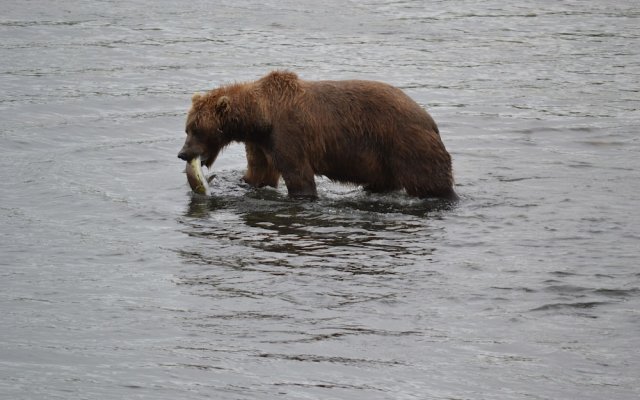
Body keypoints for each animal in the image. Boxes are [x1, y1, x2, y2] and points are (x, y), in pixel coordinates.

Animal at [178, 70, 458, 200]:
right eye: (187, 127)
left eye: (197, 129)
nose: (183, 153)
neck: (261, 117)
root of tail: (429, 119)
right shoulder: (260, 143)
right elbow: (260, 173)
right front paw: (247, 181)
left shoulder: (288, 134)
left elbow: (299, 176)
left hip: (404, 141)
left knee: (428, 180)